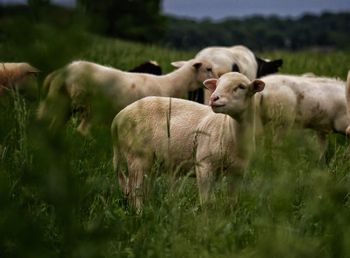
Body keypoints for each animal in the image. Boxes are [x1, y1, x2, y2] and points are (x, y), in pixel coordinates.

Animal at [37, 59, 213, 134]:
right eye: (208, 68)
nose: (217, 78)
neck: (170, 84)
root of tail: (62, 71)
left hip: (61, 101)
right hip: (83, 104)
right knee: (80, 129)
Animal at [112, 72, 266, 210]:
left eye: (241, 87)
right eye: (217, 84)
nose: (214, 98)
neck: (229, 131)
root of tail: (119, 117)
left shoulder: (238, 172)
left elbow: (232, 201)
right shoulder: (204, 164)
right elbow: (207, 202)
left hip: (150, 161)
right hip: (137, 156)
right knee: (136, 190)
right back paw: (140, 213)